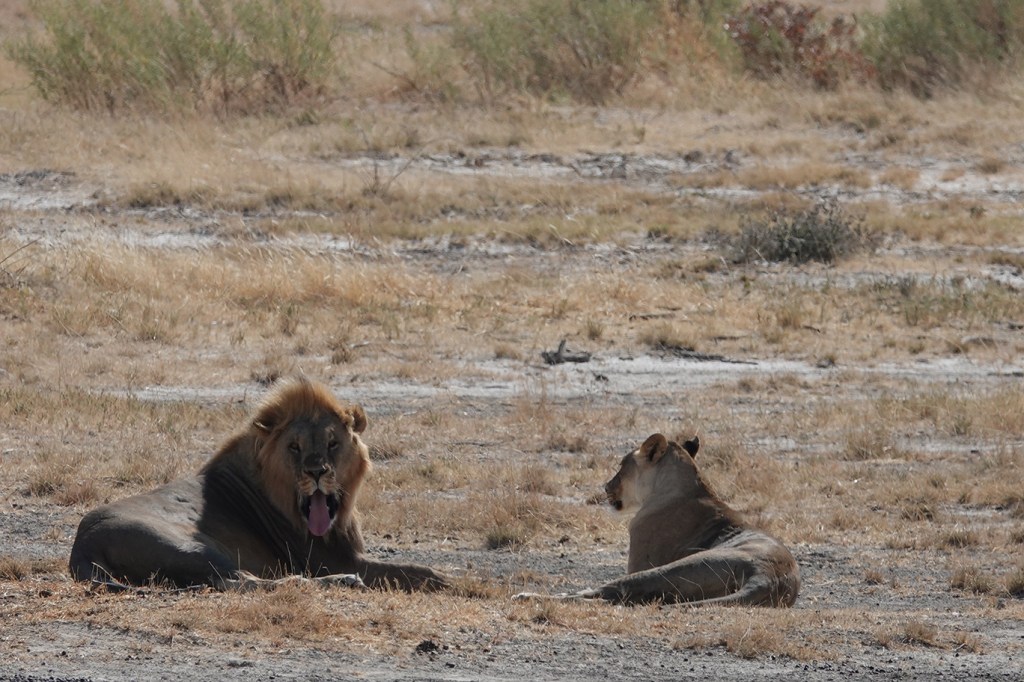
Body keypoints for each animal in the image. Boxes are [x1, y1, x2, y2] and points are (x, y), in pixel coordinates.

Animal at [69, 377, 448, 592]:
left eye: (332, 443)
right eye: (294, 446)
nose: (316, 472)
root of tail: (81, 548)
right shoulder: (332, 559)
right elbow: (409, 570)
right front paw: (450, 581)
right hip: (193, 546)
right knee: (238, 582)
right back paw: (340, 583)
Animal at [517, 433, 799, 606]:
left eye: (622, 466)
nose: (606, 486)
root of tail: (769, 576)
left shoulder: (639, 561)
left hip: (675, 567)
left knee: (609, 591)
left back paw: (528, 595)